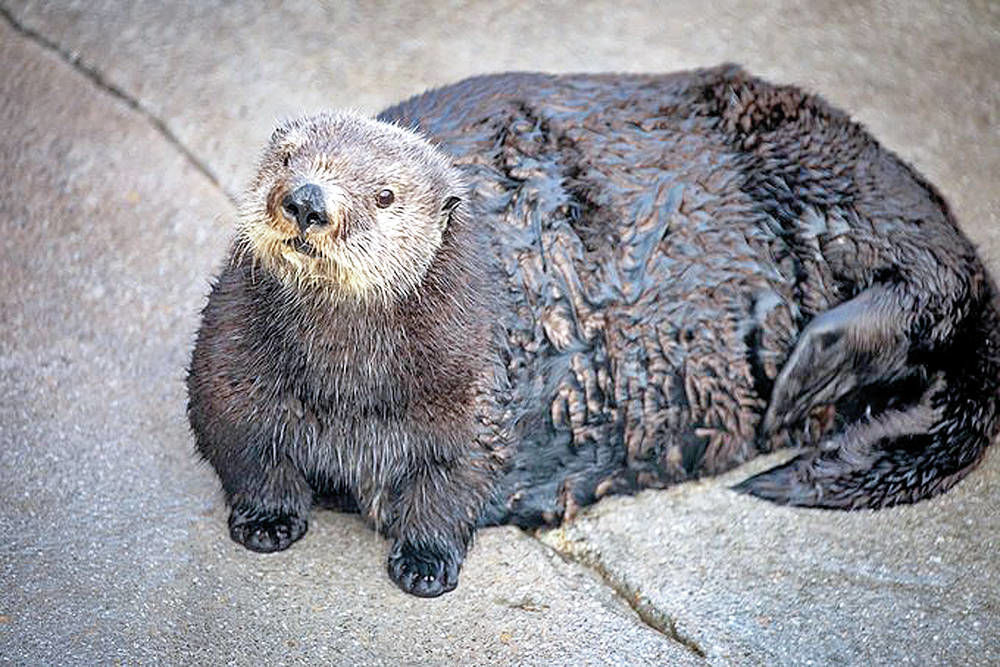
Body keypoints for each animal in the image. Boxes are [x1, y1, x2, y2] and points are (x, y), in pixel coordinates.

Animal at [187, 64, 1000, 597]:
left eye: (384, 195)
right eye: (286, 158)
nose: (306, 199)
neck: (347, 388)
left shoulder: (473, 392)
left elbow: (454, 480)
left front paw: (425, 561)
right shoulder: (230, 364)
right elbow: (241, 445)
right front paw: (265, 522)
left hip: (823, 163)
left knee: (942, 277)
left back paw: (809, 368)